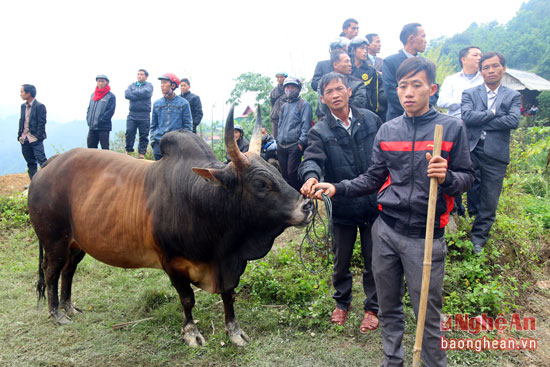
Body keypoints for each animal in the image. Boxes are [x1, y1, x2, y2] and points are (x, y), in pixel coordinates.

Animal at [30, 106, 312, 348]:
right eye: (261, 183)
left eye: (276, 170)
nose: (307, 205)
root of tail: (49, 165)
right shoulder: (173, 263)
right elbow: (187, 299)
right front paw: (191, 332)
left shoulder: (227, 265)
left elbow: (228, 295)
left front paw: (234, 331)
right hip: (54, 241)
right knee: (51, 272)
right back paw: (56, 313)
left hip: (77, 244)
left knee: (68, 271)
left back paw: (69, 306)